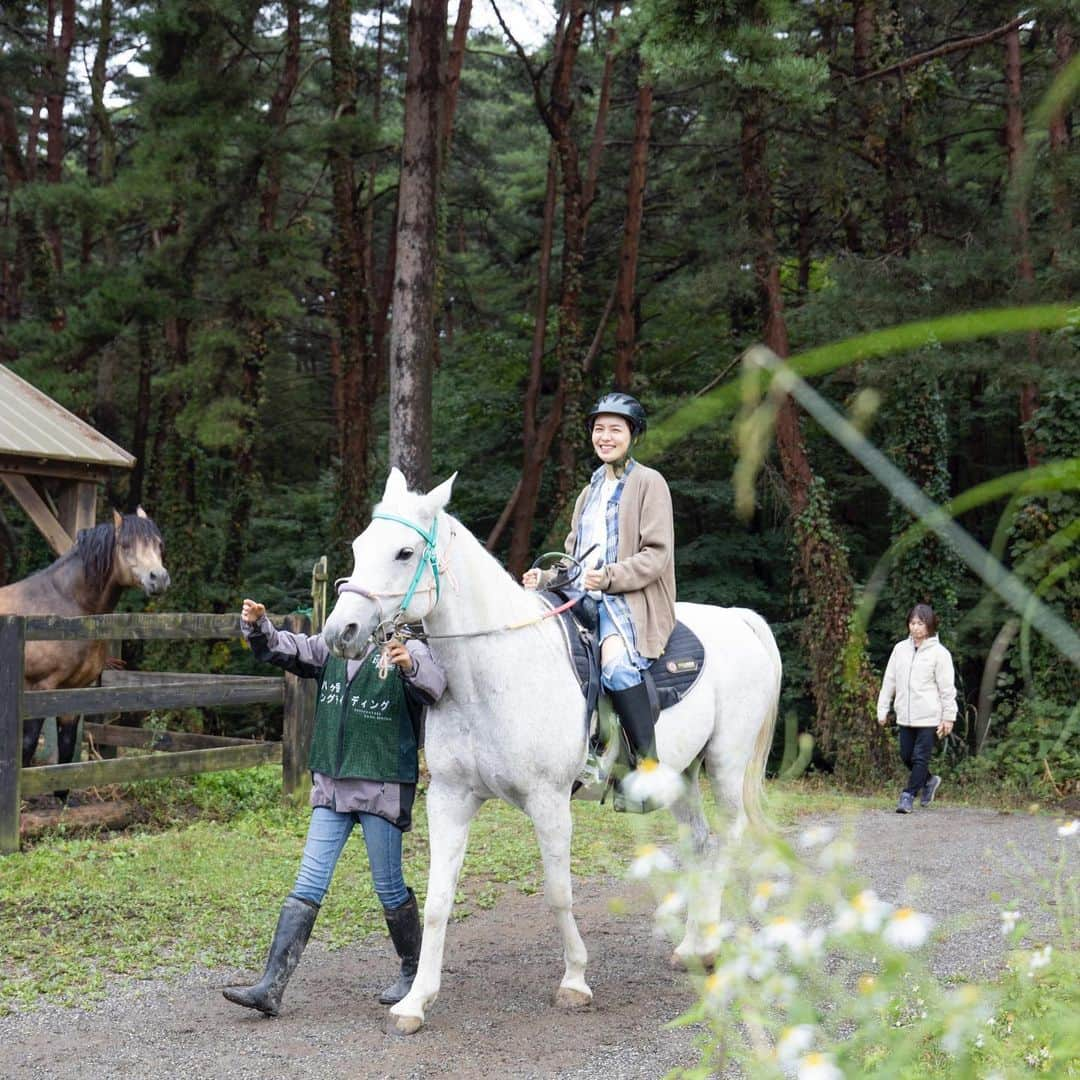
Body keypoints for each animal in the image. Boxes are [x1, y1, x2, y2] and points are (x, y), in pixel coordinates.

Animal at [0, 507, 168, 773]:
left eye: (159, 544)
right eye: (125, 545)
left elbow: (67, 750)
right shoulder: (38, 688)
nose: (159, 579)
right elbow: (27, 749)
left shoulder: (74, 690)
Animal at [324, 468, 781, 1032]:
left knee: (728, 843)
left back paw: (715, 949)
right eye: (359, 546)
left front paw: (575, 980)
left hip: (725, 766)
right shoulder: (449, 799)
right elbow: (436, 901)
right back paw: (693, 947)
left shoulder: (549, 801)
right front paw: (415, 1001)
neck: (493, 670)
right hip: (681, 777)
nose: (340, 632)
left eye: (405, 552)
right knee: (700, 844)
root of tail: (739, 620)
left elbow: (559, 894)